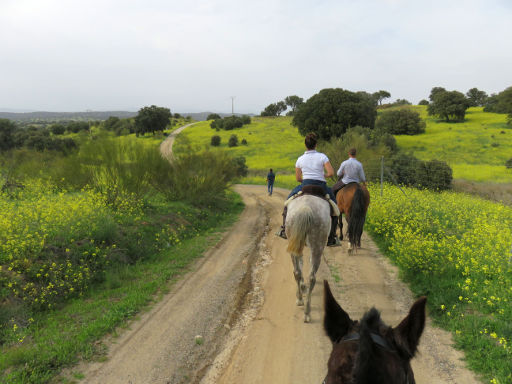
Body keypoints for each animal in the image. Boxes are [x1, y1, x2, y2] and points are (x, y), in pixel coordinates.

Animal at [284, 194, 332, 322]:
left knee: (297, 272)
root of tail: (306, 207)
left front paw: (301, 288)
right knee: (311, 277)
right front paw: (302, 287)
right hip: (317, 246)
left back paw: (301, 301)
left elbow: (300, 268)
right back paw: (306, 311)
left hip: (295, 242)